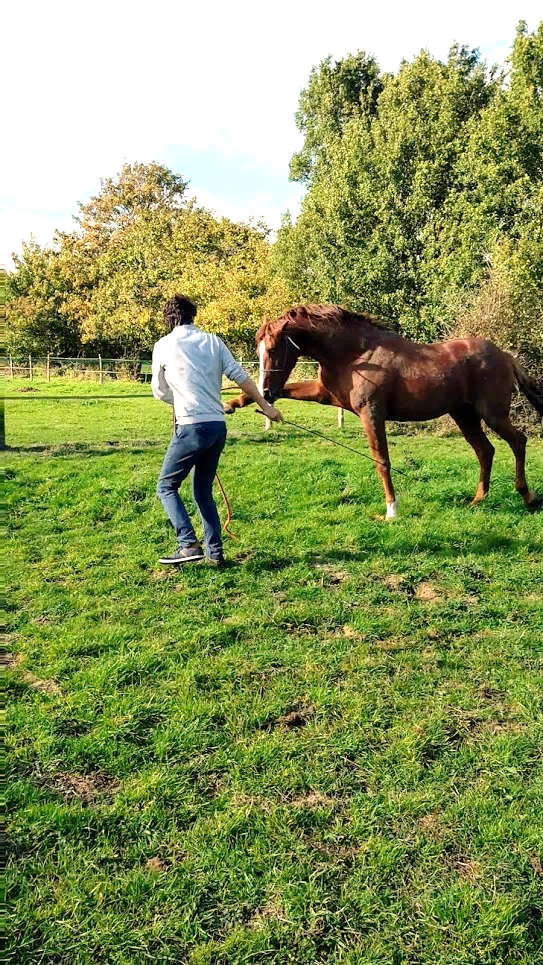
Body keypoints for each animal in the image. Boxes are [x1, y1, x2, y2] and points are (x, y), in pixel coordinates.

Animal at [225, 304, 542, 517]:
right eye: (259, 351)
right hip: (465, 416)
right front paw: (232, 404)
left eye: (274, 350)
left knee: (517, 442)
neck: (356, 355)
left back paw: (527, 496)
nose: (267, 391)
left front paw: (391, 510)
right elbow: (281, 391)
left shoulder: (371, 414)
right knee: (485, 451)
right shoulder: (324, 394)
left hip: (492, 414)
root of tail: (505, 356)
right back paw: (478, 500)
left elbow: (382, 461)